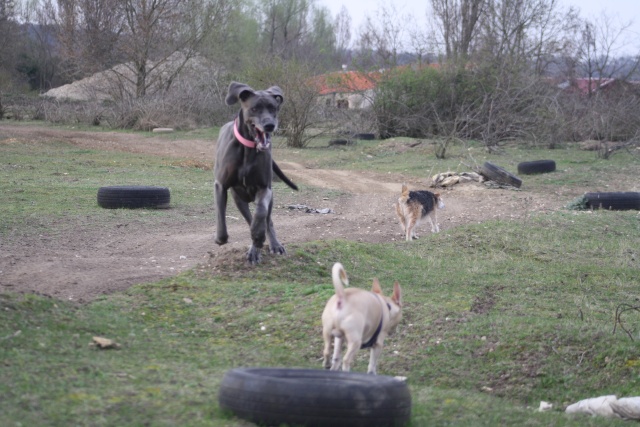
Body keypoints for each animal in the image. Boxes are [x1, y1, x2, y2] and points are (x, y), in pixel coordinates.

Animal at [212, 81, 298, 264]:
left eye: (273, 108)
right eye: (255, 108)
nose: (269, 125)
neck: (248, 148)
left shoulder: (265, 188)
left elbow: (260, 213)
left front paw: (258, 237)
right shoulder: (221, 185)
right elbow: (221, 217)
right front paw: (221, 238)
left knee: (267, 220)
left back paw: (270, 245)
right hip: (239, 199)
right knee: (249, 218)